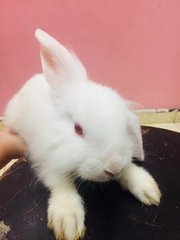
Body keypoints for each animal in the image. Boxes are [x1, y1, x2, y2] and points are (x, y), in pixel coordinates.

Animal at [4, 29, 162, 240]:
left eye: (123, 127)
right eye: (78, 129)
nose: (113, 168)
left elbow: (129, 167)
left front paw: (147, 188)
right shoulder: (47, 159)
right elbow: (61, 183)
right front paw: (68, 219)